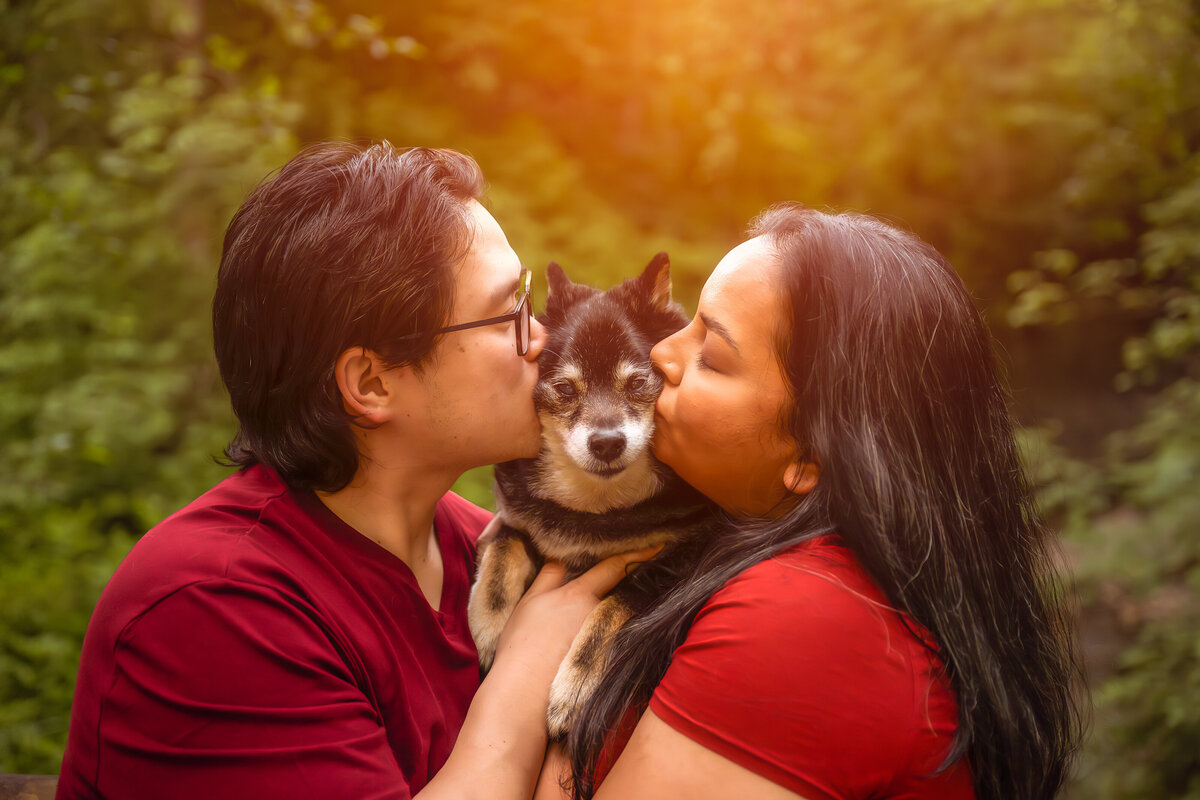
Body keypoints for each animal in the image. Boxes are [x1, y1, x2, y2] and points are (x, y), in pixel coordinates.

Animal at [465, 255, 710, 738]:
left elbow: (614, 607)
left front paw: (575, 687)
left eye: (637, 384)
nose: (607, 443)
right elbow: (504, 546)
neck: (599, 508)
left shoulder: (679, 563)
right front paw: (488, 625)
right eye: (565, 389)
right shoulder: (515, 518)